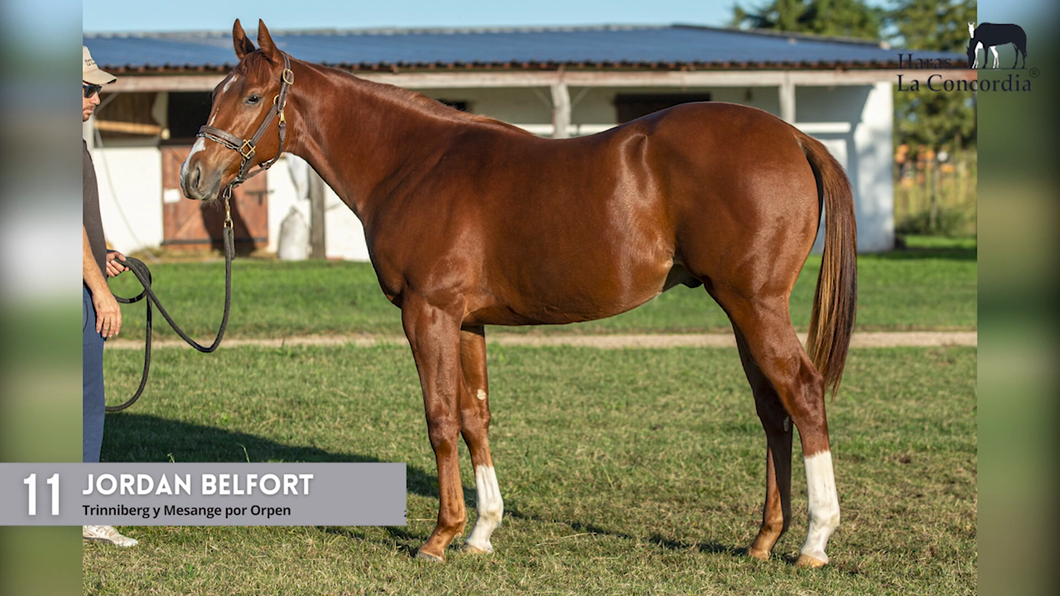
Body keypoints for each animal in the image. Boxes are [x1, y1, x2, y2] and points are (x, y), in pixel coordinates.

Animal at [181, 19, 857, 568]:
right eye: (213, 94)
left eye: (251, 96)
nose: (193, 176)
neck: (414, 163)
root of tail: (794, 137)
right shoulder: (466, 321)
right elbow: (475, 417)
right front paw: (481, 532)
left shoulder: (427, 313)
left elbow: (440, 418)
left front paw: (439, 538)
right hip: (740, 307)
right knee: (772, 408)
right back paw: (764, 540)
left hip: (754, 303)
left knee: (802, 393)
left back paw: (815, 540)